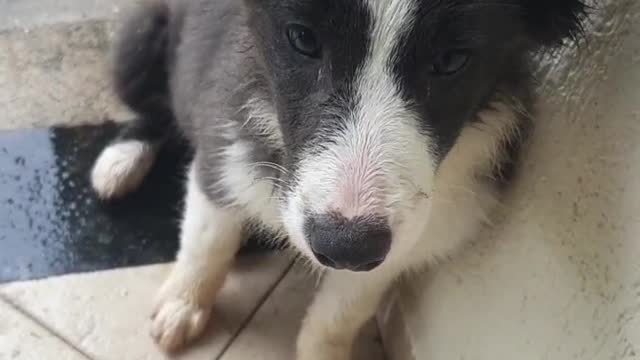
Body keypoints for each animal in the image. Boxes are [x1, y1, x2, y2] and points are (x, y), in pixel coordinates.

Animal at [90, 0, 584, 358]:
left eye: (452, 60)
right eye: (302, 38)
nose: (345, 246)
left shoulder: (406, 241)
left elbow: (340, 314)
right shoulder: (224, 138)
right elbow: (206, 242)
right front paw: (183, 303)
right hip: (139, 42)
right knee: (154, 109)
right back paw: (121, 160)